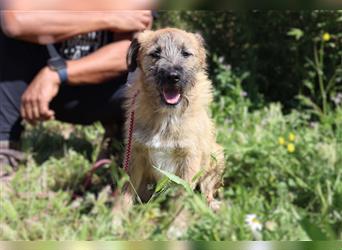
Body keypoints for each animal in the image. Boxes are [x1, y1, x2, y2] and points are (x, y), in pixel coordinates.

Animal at [116, 27, 226, 211]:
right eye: (155, 53)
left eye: (186, 53)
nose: (172, 76)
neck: (167, 117)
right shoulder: (134, 155)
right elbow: (125, 191)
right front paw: (115, 216)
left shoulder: (189, 159)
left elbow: (182, 198)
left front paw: (176, 219)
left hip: (217, 156)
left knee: (207, 190)